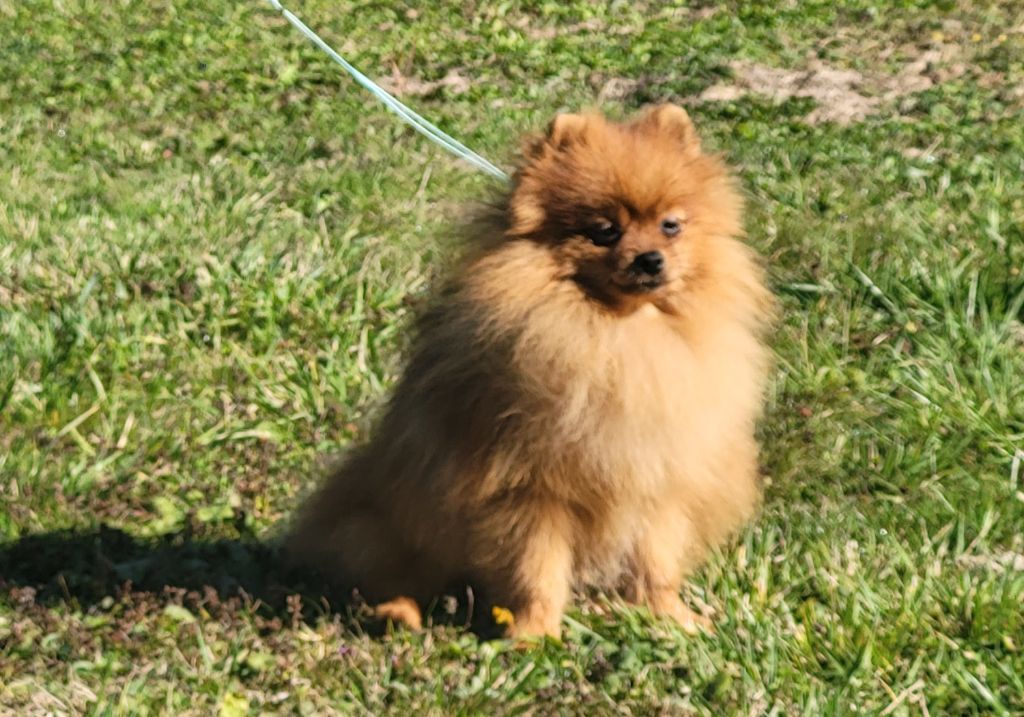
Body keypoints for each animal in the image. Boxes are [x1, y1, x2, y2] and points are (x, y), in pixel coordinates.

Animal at [284, 102, 770, 639]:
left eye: (670, 225)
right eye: (605, 231)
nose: (650, 259)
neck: (618, 335)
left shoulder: (658, 481)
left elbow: (655, 563)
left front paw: (672, 617)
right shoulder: (526, 491)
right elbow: (536, 569)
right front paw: (534, 635)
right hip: (388, 516)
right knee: (393, 575)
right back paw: (397, 612)